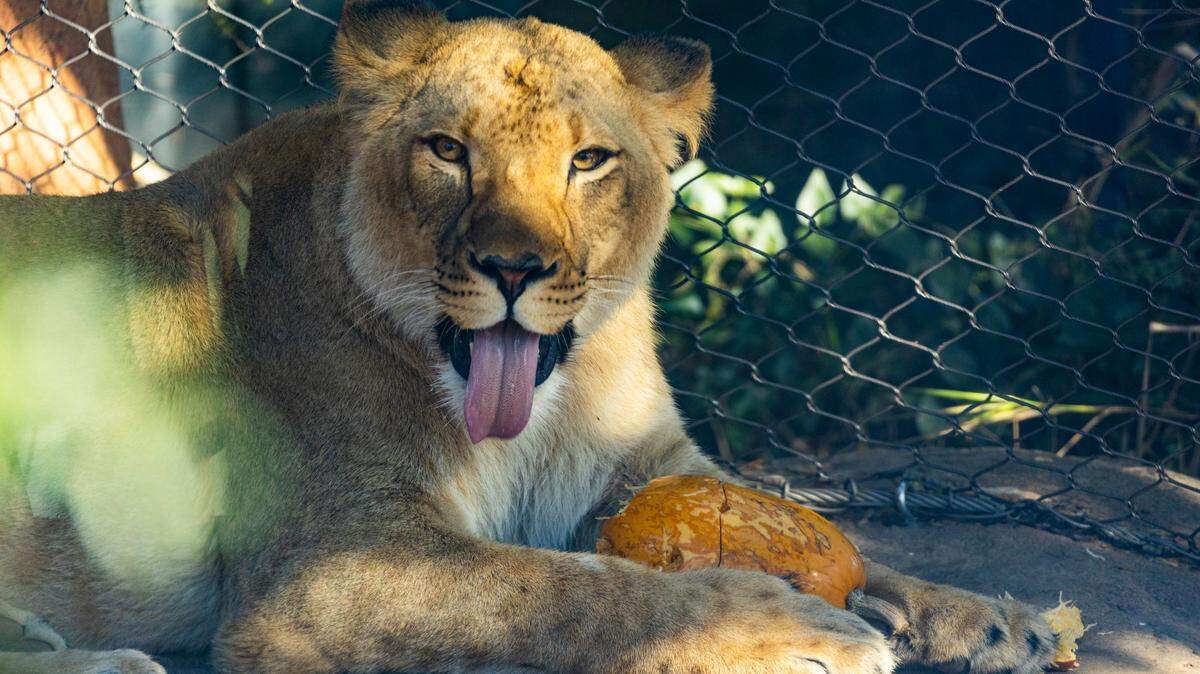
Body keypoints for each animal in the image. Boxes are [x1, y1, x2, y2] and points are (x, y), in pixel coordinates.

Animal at [0, 2, 1057, 672]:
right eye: (447, 151)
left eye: (587, 160)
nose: (515, 269)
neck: (546, 413)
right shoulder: (317, 573)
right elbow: (565, 589)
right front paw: (802, 629)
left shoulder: (647, 470)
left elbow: (829, 536)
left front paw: (989, 620)